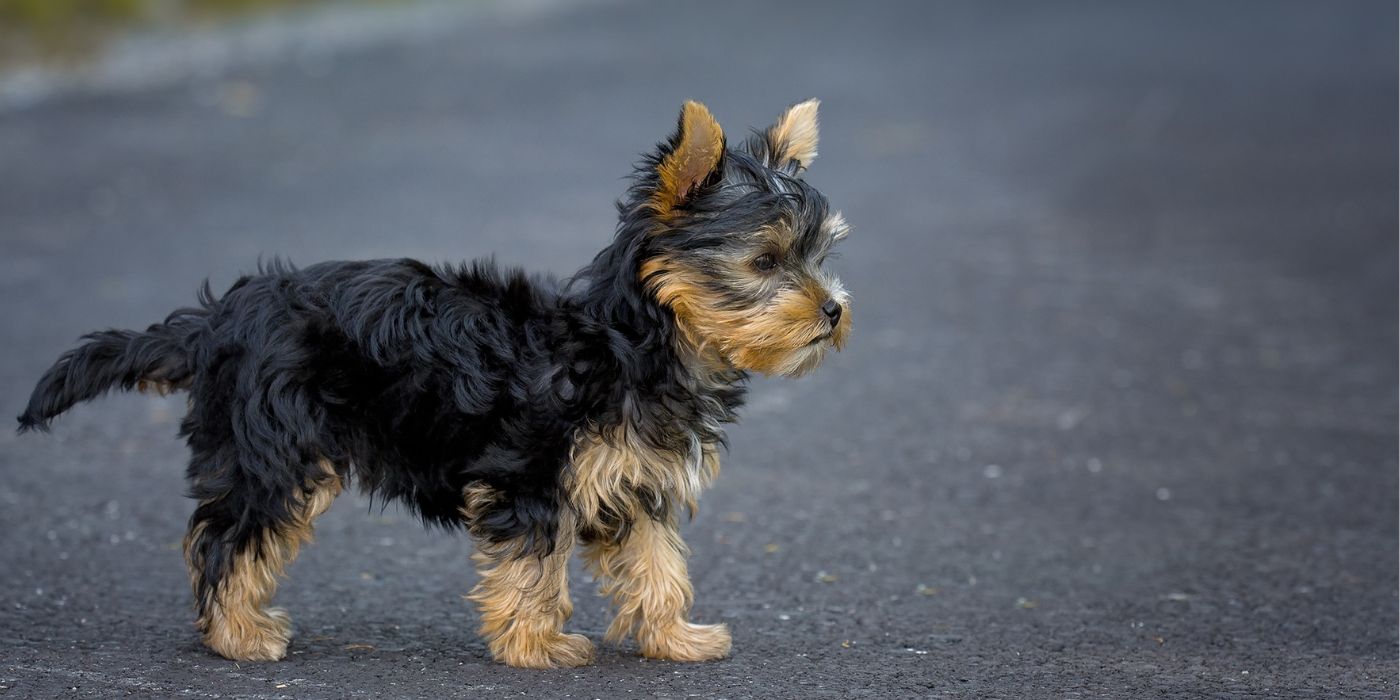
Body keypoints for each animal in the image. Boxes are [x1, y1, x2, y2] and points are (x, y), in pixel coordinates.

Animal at [19, 100, 851, 666]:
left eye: (819, 256)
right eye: (765, 262)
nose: (835, 310)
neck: (631, 343)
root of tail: (220, 319)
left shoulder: (633, 481)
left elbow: (657, 562)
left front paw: (675, 636)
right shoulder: (532, 476)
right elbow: (533, 564)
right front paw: (536, 647)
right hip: (277, 449)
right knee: (232, 537)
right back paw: (238, 635)